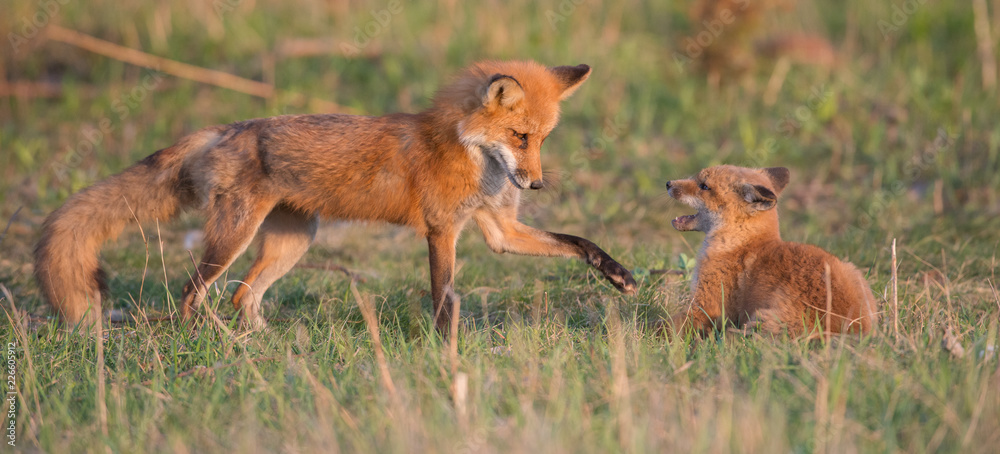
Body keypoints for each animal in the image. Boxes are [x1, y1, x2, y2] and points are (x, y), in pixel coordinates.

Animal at [35, 60, 637, 331]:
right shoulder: (443, 229)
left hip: (293, 241)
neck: (473, 158)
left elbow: (576, 241)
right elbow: (444, 296)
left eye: (544, 138)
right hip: (234, 238)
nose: (534, 184)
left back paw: (260, 346)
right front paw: (445, 351)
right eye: (520, 137)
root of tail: (226, 128)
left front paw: (620, 274)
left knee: (242, 296)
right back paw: (209, 342)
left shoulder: (499, 230)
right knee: (191, 294)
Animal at [664, 165, 878, 337]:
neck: (740, 243)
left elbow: (664, 325)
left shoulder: (707, 307)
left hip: (759, 323)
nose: (668, 183)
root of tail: (850, 330)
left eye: (704, 186)